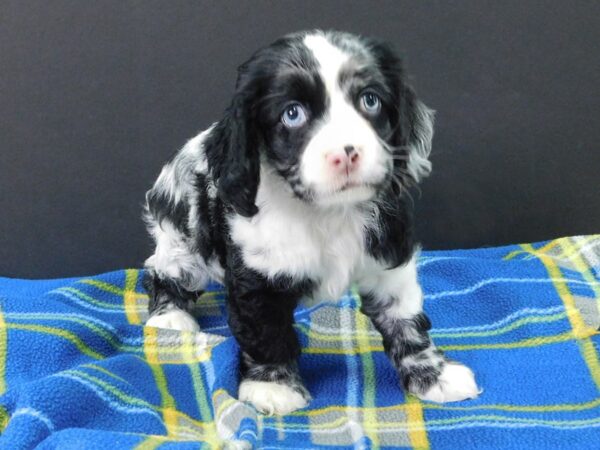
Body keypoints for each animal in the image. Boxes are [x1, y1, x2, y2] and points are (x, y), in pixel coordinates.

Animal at [143, 28, 480, 414]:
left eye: (370, 101)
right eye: (293, 113)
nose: (346, 153)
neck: (326, 211)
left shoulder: (389, 260)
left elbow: (404, 318)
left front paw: (434, 375)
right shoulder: (256, 275)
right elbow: (265, 329)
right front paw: (273, 386)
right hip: (181, 240)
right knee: (162, 272)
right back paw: (170, 317)